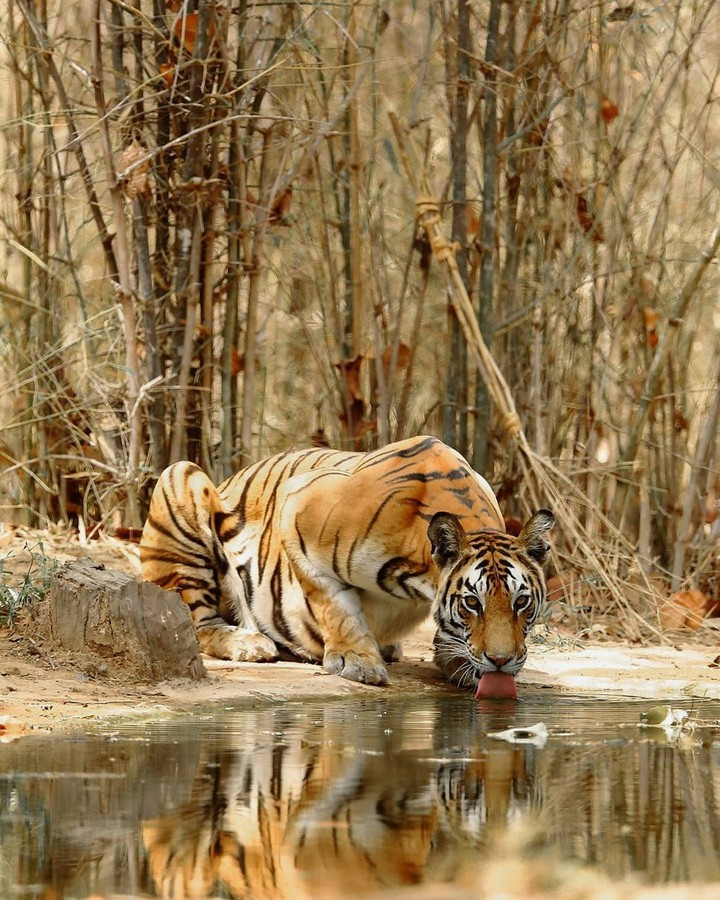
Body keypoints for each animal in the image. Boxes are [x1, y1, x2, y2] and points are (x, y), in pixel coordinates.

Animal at [140, 434, 554, 688]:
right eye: (472, 603)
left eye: (521, 602)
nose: (500, 661)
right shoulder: (296, 509)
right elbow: (335, 604)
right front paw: (358, 662)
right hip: (180, 479)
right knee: (196, 624)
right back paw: (249, 642)